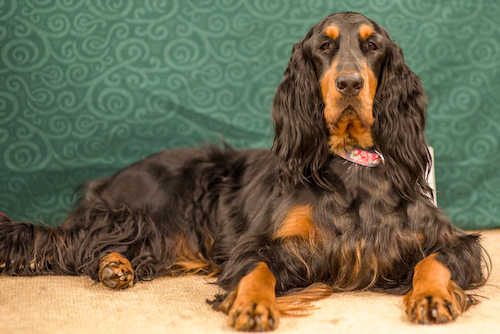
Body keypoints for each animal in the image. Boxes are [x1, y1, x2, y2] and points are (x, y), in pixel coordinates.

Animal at [0, 11, 488, 332]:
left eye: (372, 46)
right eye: (324, 47)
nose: (349, 83)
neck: (353, 168)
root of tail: (109, 180)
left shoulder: (448, 239)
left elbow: (434, 258)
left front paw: (430, 295)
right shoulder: (266, 244)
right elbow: (257, 268)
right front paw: (253, 304)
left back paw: (117, 266)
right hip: (147, 208)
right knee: (82, 243)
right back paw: (112, 264)